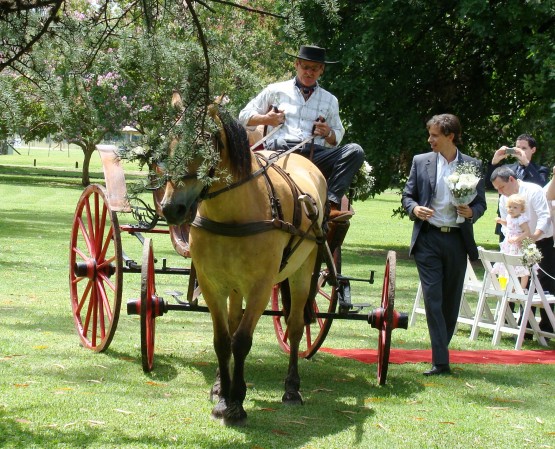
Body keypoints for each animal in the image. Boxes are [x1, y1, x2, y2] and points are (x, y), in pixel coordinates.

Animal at [160, 103, 330, 426]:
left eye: (202, 147)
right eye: (168, 145)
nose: (171, 208)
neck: (233, 214)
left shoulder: (260, 288)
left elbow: (241, 341)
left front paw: (236, 403)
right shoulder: (212, 285)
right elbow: (222, 340)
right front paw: (223, 397)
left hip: (303, 271)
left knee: (295, 327)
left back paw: (292, 389)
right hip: (234, 286)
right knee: (233, 323)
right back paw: (219, 384)